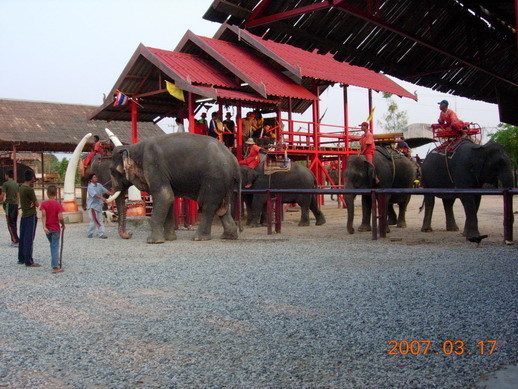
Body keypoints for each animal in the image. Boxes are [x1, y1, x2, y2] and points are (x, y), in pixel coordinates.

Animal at [109, 133, 242, 242]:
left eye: (113, 171)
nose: (129, 234)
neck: (134, 148)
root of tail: (235, 162)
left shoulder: (153, 165)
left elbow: (164, 196)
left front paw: (153, 241)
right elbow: (169, 198)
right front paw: (170, 239)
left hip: (214, 178)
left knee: (208, 205)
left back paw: (199, 238)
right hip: (224, 182)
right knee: (222, 207)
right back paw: (228, 237)